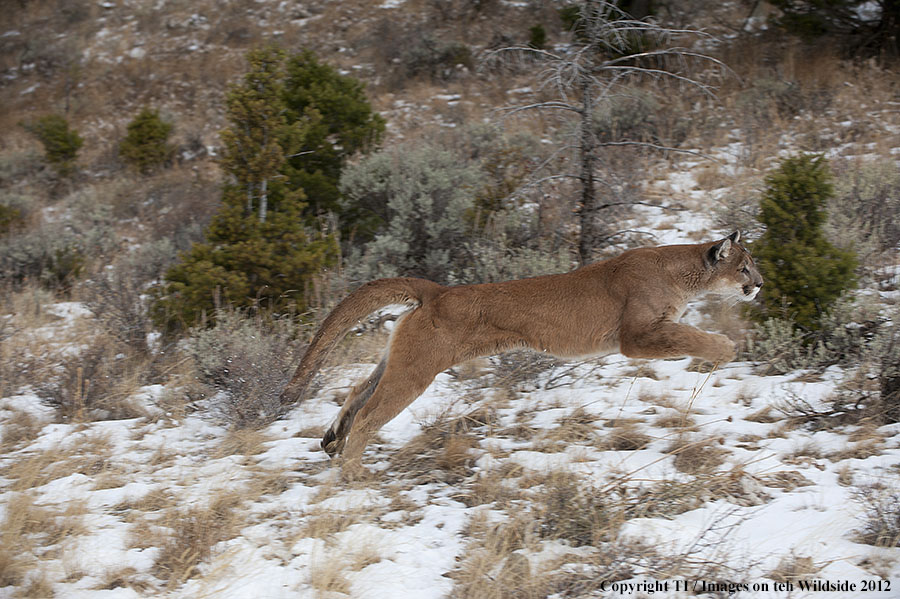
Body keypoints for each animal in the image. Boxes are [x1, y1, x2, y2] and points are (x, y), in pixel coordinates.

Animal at [280, 231, 760, 468]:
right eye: (743, 267)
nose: (758, 284)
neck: (680, 272)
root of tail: (438, 291)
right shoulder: (637, 336)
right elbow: (691, 336)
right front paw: (725, 348)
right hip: (416, 371)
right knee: (368, 415)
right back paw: (352, 472)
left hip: (404, 361)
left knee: (358, 389)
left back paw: (331, 442)